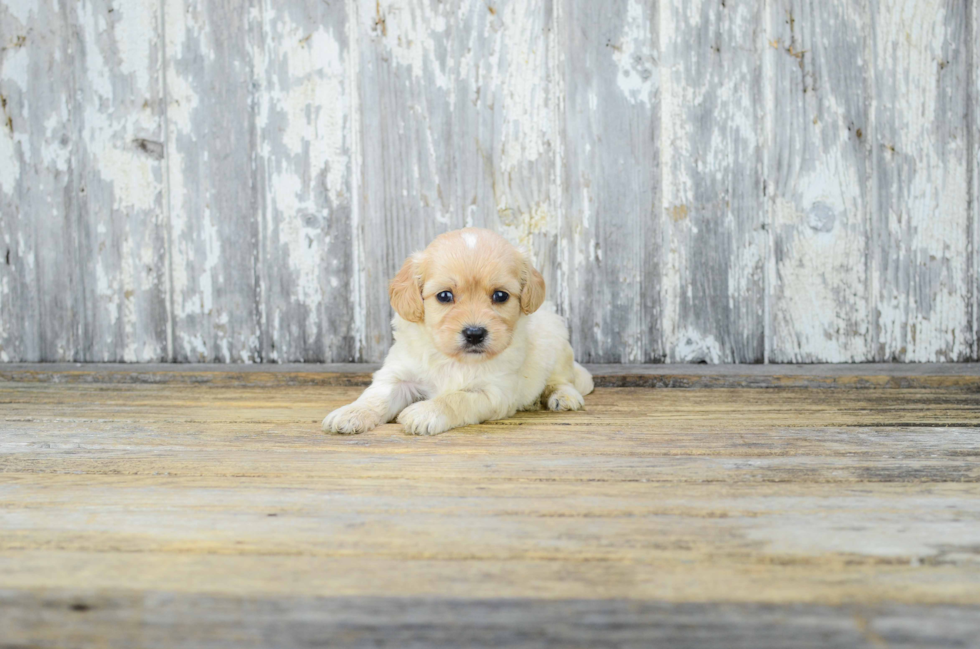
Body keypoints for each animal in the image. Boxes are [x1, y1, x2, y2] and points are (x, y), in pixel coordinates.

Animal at [326, 228, 592, 436]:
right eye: (445, 295)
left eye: (500, 295)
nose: (474, 333)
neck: (452, 359)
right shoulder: (398, 375)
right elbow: (376, 397)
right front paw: (351, 412)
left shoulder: (493, 391)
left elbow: (455, 398)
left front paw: (426, 411)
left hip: (557, 342)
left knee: (561, 379)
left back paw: (563, 397)